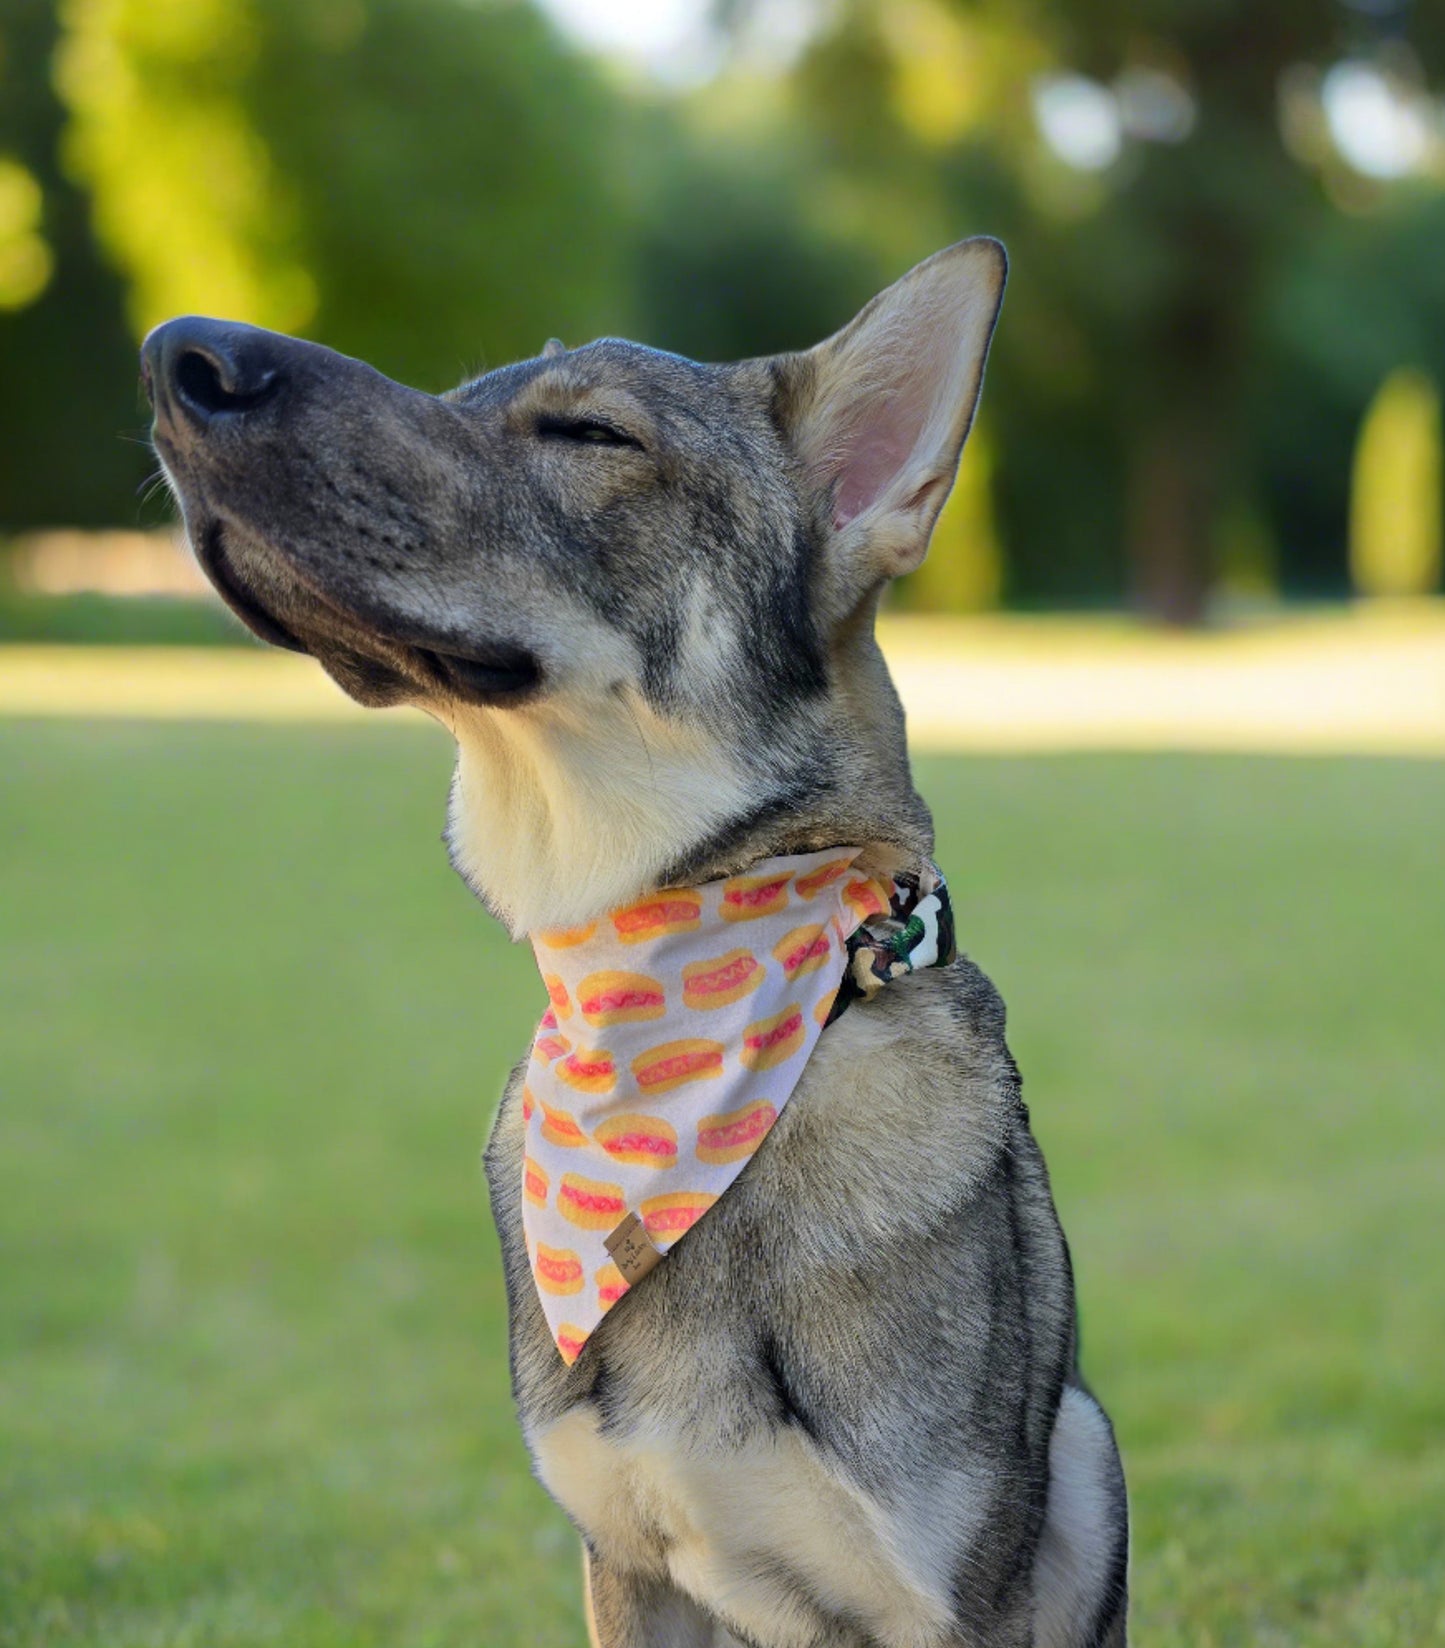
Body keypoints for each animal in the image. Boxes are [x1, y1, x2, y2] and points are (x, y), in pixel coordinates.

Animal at [144, 235, 1127, 1648]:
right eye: (463, 393)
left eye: (589, 432)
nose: (180, 353)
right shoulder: (626, 1559)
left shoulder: (949, 1596)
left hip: (1089, 1448)